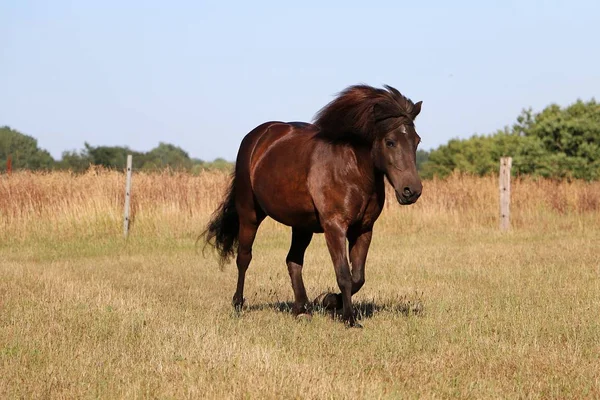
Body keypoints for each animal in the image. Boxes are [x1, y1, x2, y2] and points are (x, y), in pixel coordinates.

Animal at [204, 83, 424, 324]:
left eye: (417, 141)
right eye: (390, 142)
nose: (411, 191)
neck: (351, 169)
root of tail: (257, 137)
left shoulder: (363, 229)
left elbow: (358, 277)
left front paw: (328, 300)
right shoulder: (334, 227)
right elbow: (344, 274)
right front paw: (349, 318)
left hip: (301, 226)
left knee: (293, 260)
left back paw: (302, 309)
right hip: (250, 214)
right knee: (244, 257)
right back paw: (238, 306)